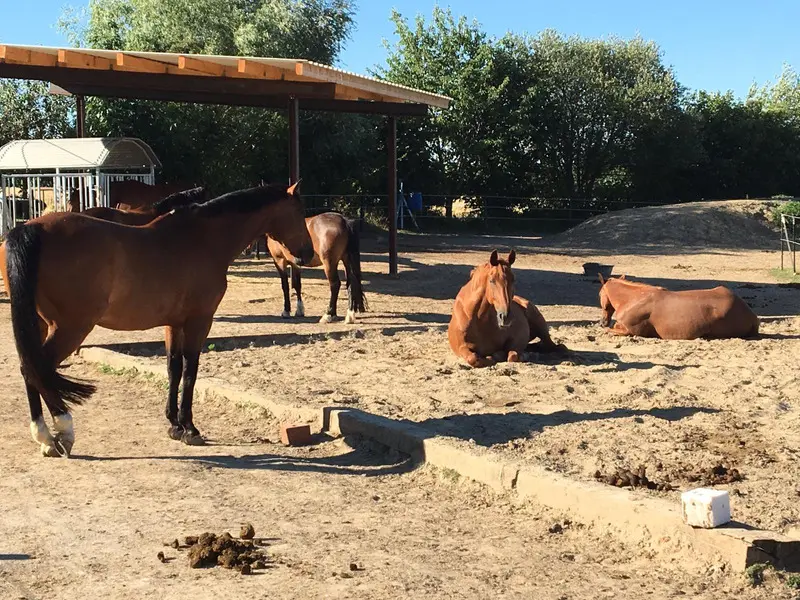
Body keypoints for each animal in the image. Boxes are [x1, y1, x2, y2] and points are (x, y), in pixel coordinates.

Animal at [598, 275, 760, 339]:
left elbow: (609, 330)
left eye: (599, 294)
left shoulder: (629, 331)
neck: (634, 299)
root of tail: (752, 316)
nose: (602, 322)